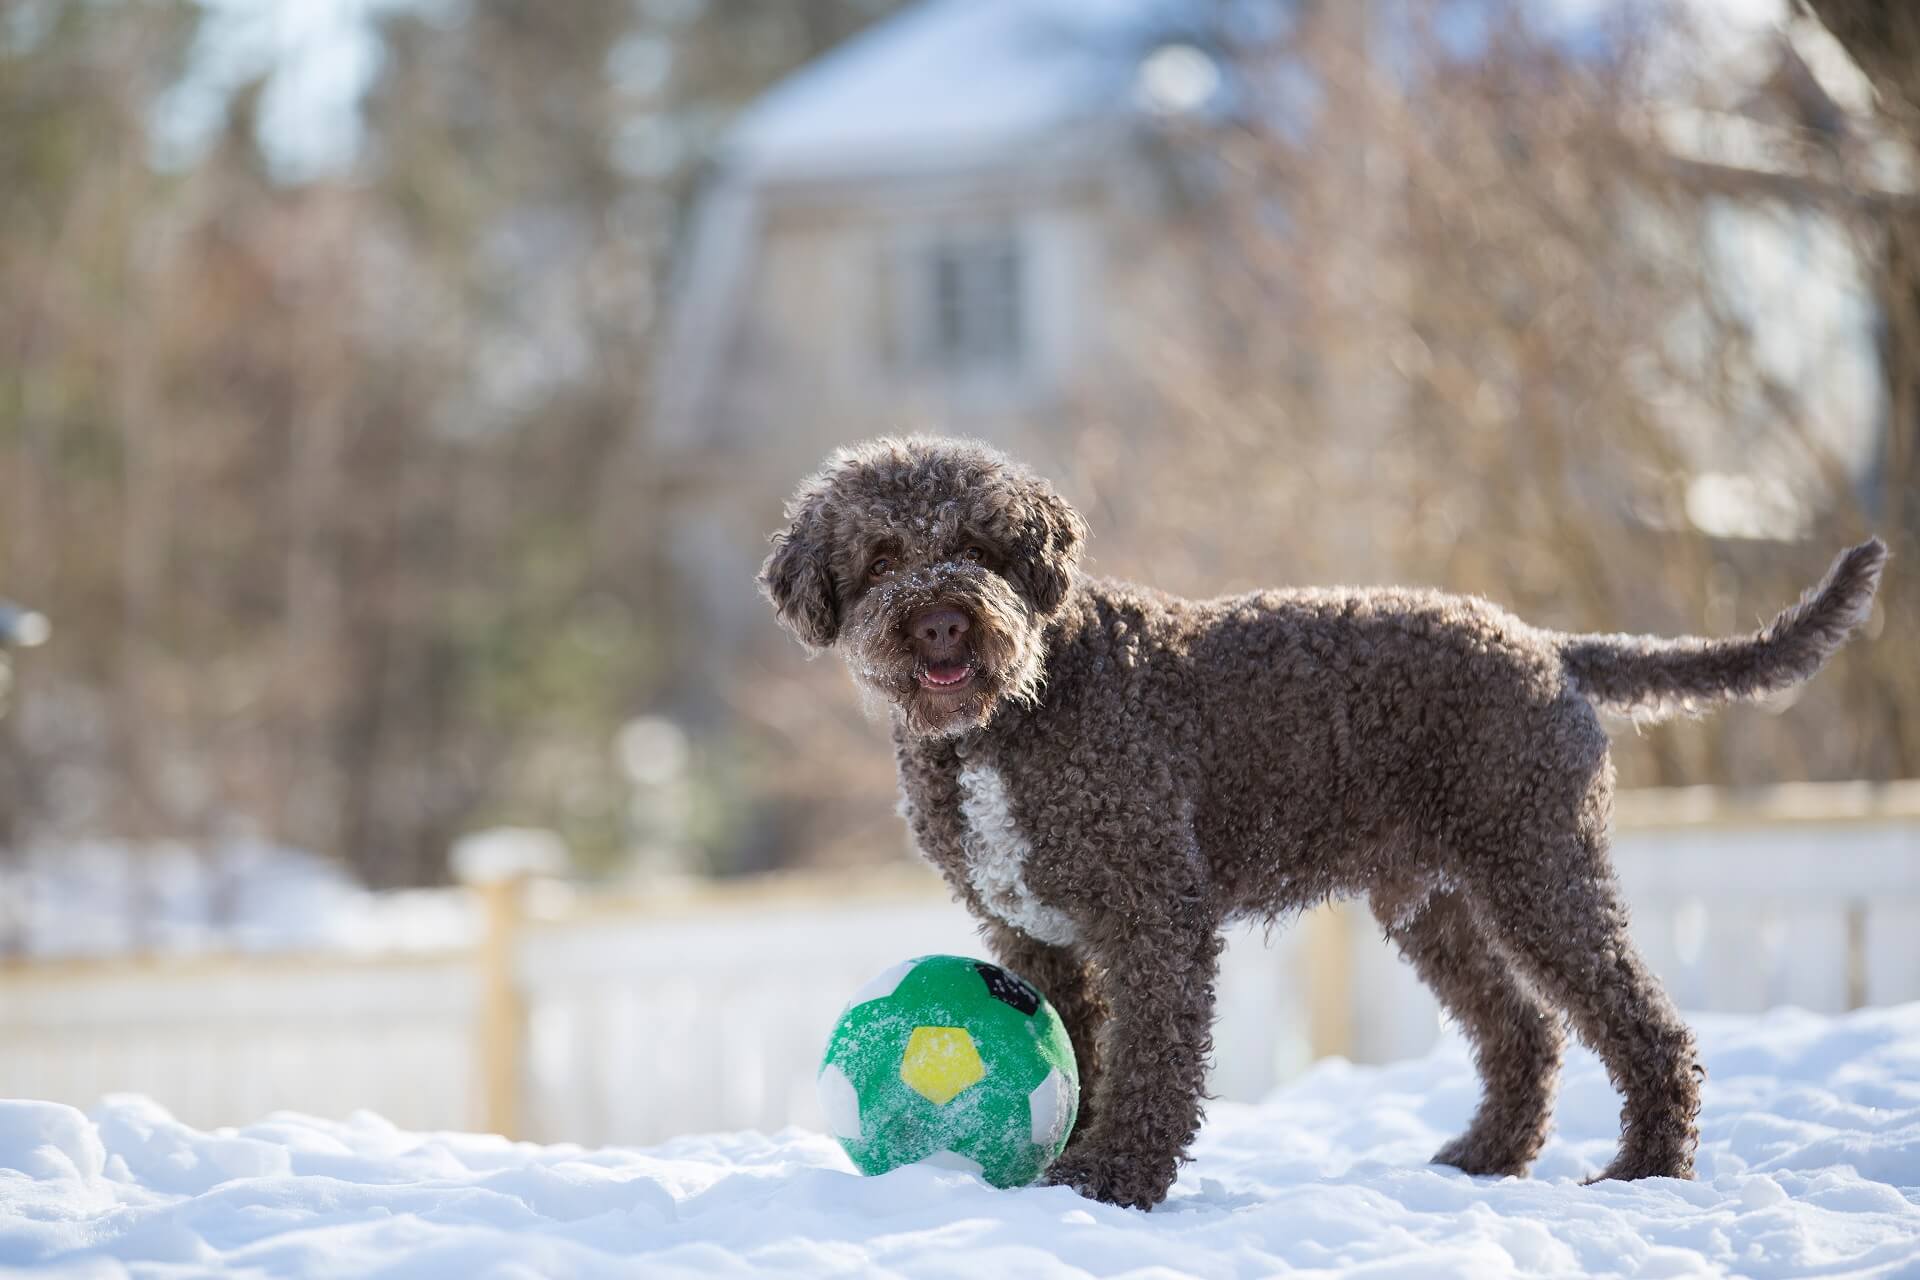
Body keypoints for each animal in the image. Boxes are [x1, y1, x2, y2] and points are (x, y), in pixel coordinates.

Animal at [756, 435, 1881, 1205]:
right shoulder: (1036, 935)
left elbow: (1153, 1061)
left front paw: (1114, 1178)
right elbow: (1077, 1053)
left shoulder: (1152, 914)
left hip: (1537, 867)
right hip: (1437, 903)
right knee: (1525, 1032)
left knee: (1647, 1027)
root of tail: (1548, 647)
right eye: (882, 554)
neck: (1016, 708)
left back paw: (1646, 1166)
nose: (945, 620)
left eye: (983, 544)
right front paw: (1067, 1161)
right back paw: (1486, 1157)